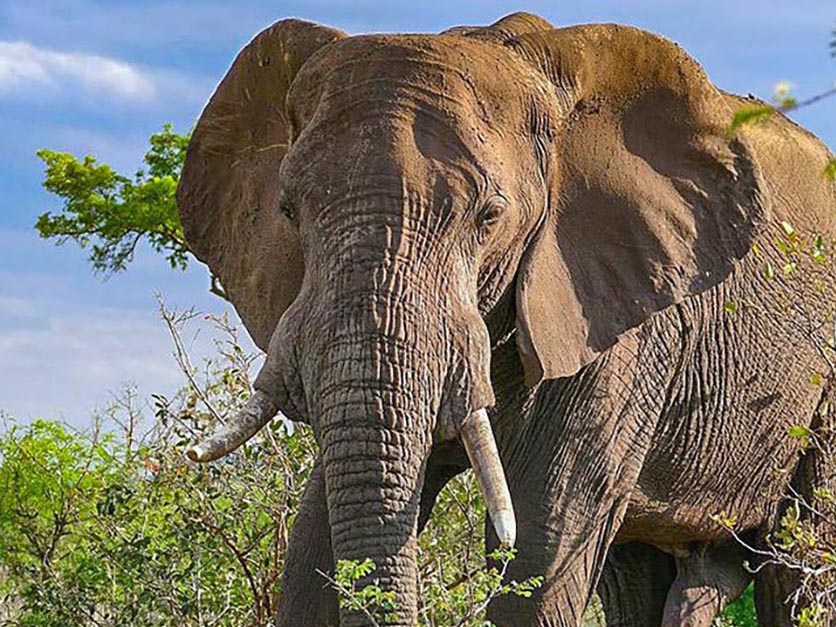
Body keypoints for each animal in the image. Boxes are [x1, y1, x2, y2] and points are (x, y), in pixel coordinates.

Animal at [176, 12, 836, 627]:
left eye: (489, 217)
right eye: (288, 209)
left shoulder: (617, 317)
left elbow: (540, 543)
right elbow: (314, 540)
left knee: (800, 561)